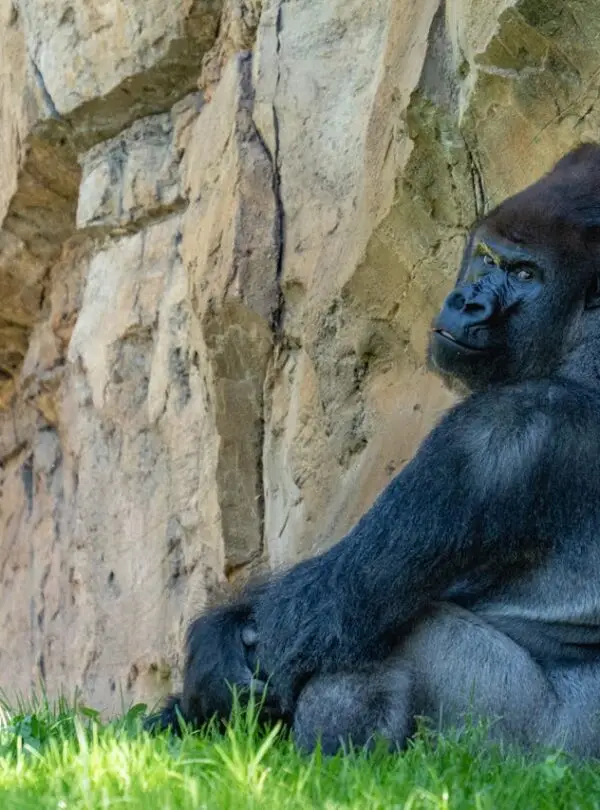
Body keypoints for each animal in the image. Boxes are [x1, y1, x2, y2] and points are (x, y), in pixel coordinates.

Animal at [148, 142, 600, 757]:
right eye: (488, 258)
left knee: (374, 635)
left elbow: (319, 613)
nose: (469, 304)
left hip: (535, 748)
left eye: (527, 274)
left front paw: (211, 658)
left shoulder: (498, 431)